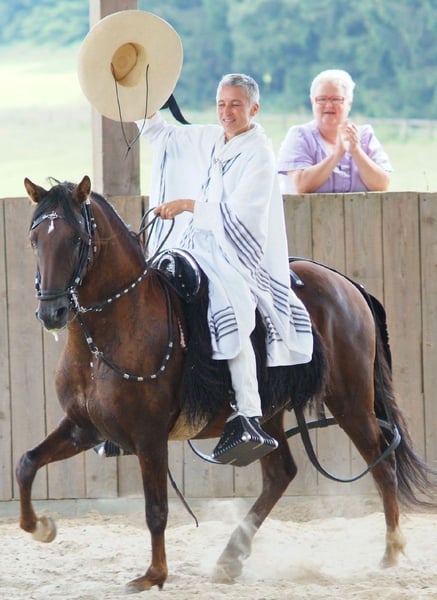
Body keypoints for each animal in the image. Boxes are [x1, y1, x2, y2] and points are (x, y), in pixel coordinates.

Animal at [17, 175, 436, 593]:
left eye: (75, 239)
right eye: (34, 238)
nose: (51, 312)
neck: (117, 329)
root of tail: (345, 283)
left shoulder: (149, 437)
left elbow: (157, 509)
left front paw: (154, 575)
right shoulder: (84, 427)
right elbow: (27, 463)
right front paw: (40, 527)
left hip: (351, 401)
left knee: (382, 464)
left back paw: (391, 550)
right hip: (271, 415)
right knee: (281, 474)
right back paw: (230, 558)